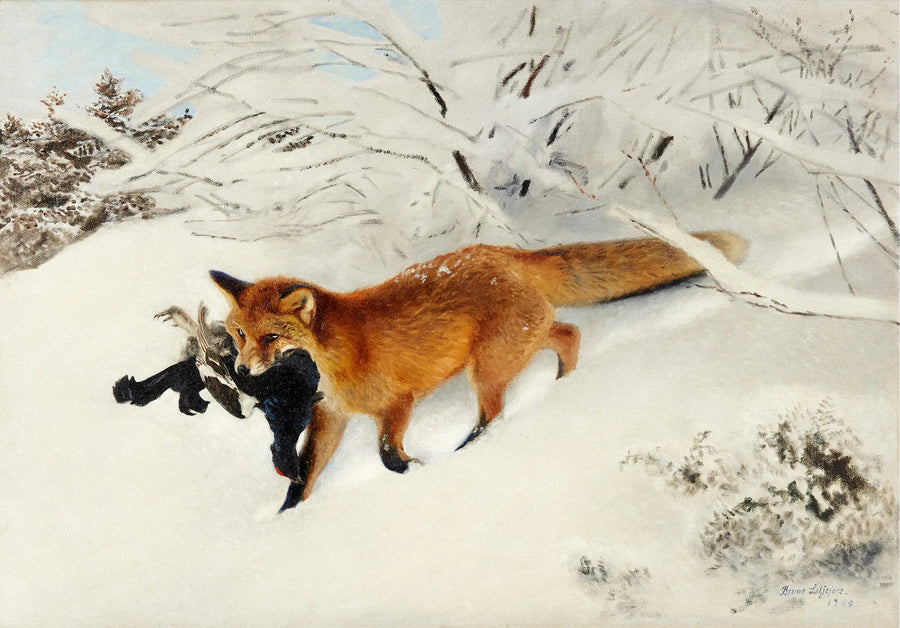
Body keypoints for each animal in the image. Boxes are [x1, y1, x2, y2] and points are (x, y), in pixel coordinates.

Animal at [211, 230, 746, 503]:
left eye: (271, 337)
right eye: (239, 334)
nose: (242, 371)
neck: (337, 354)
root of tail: (502, 253)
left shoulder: (398, 403)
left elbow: (386, 455)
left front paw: (417, 469)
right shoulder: (331, 415)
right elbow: (304, 474)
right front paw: (286, 518)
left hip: (487, 367)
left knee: (495, 413)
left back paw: (470, 449)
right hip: (516, 345)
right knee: (569, 333)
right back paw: (563, 386)